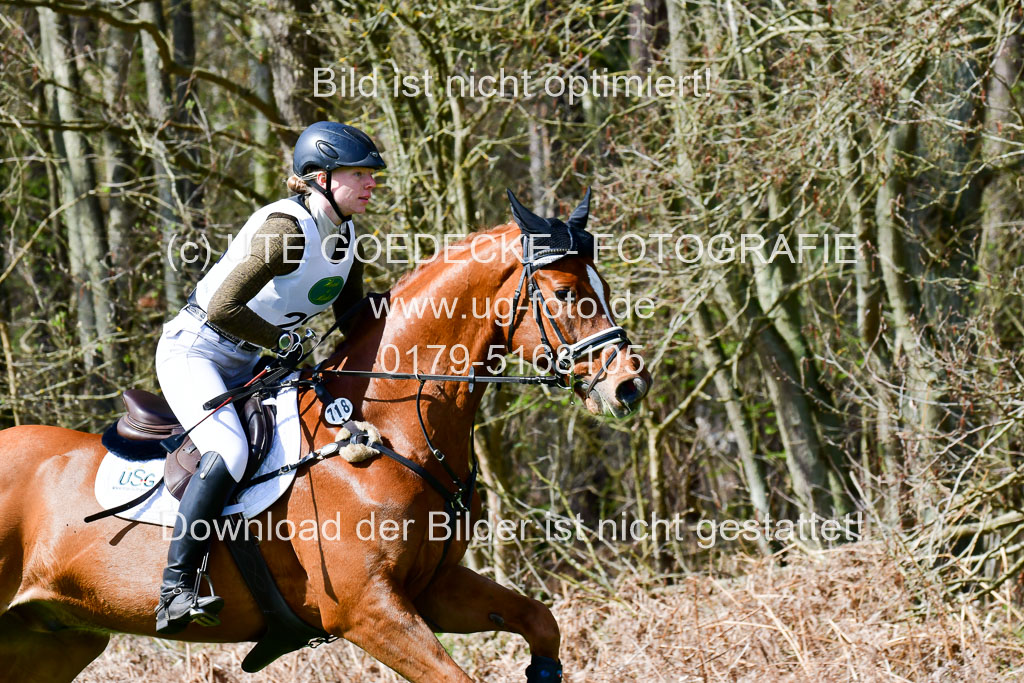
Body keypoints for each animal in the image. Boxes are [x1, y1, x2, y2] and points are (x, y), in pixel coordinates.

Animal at [0, 189, 651, 682]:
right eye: (567, 294)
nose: (629, 385)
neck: (388, 430)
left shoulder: (433, 591)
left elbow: (542, 622)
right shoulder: (368, 612)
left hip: (53, 638)